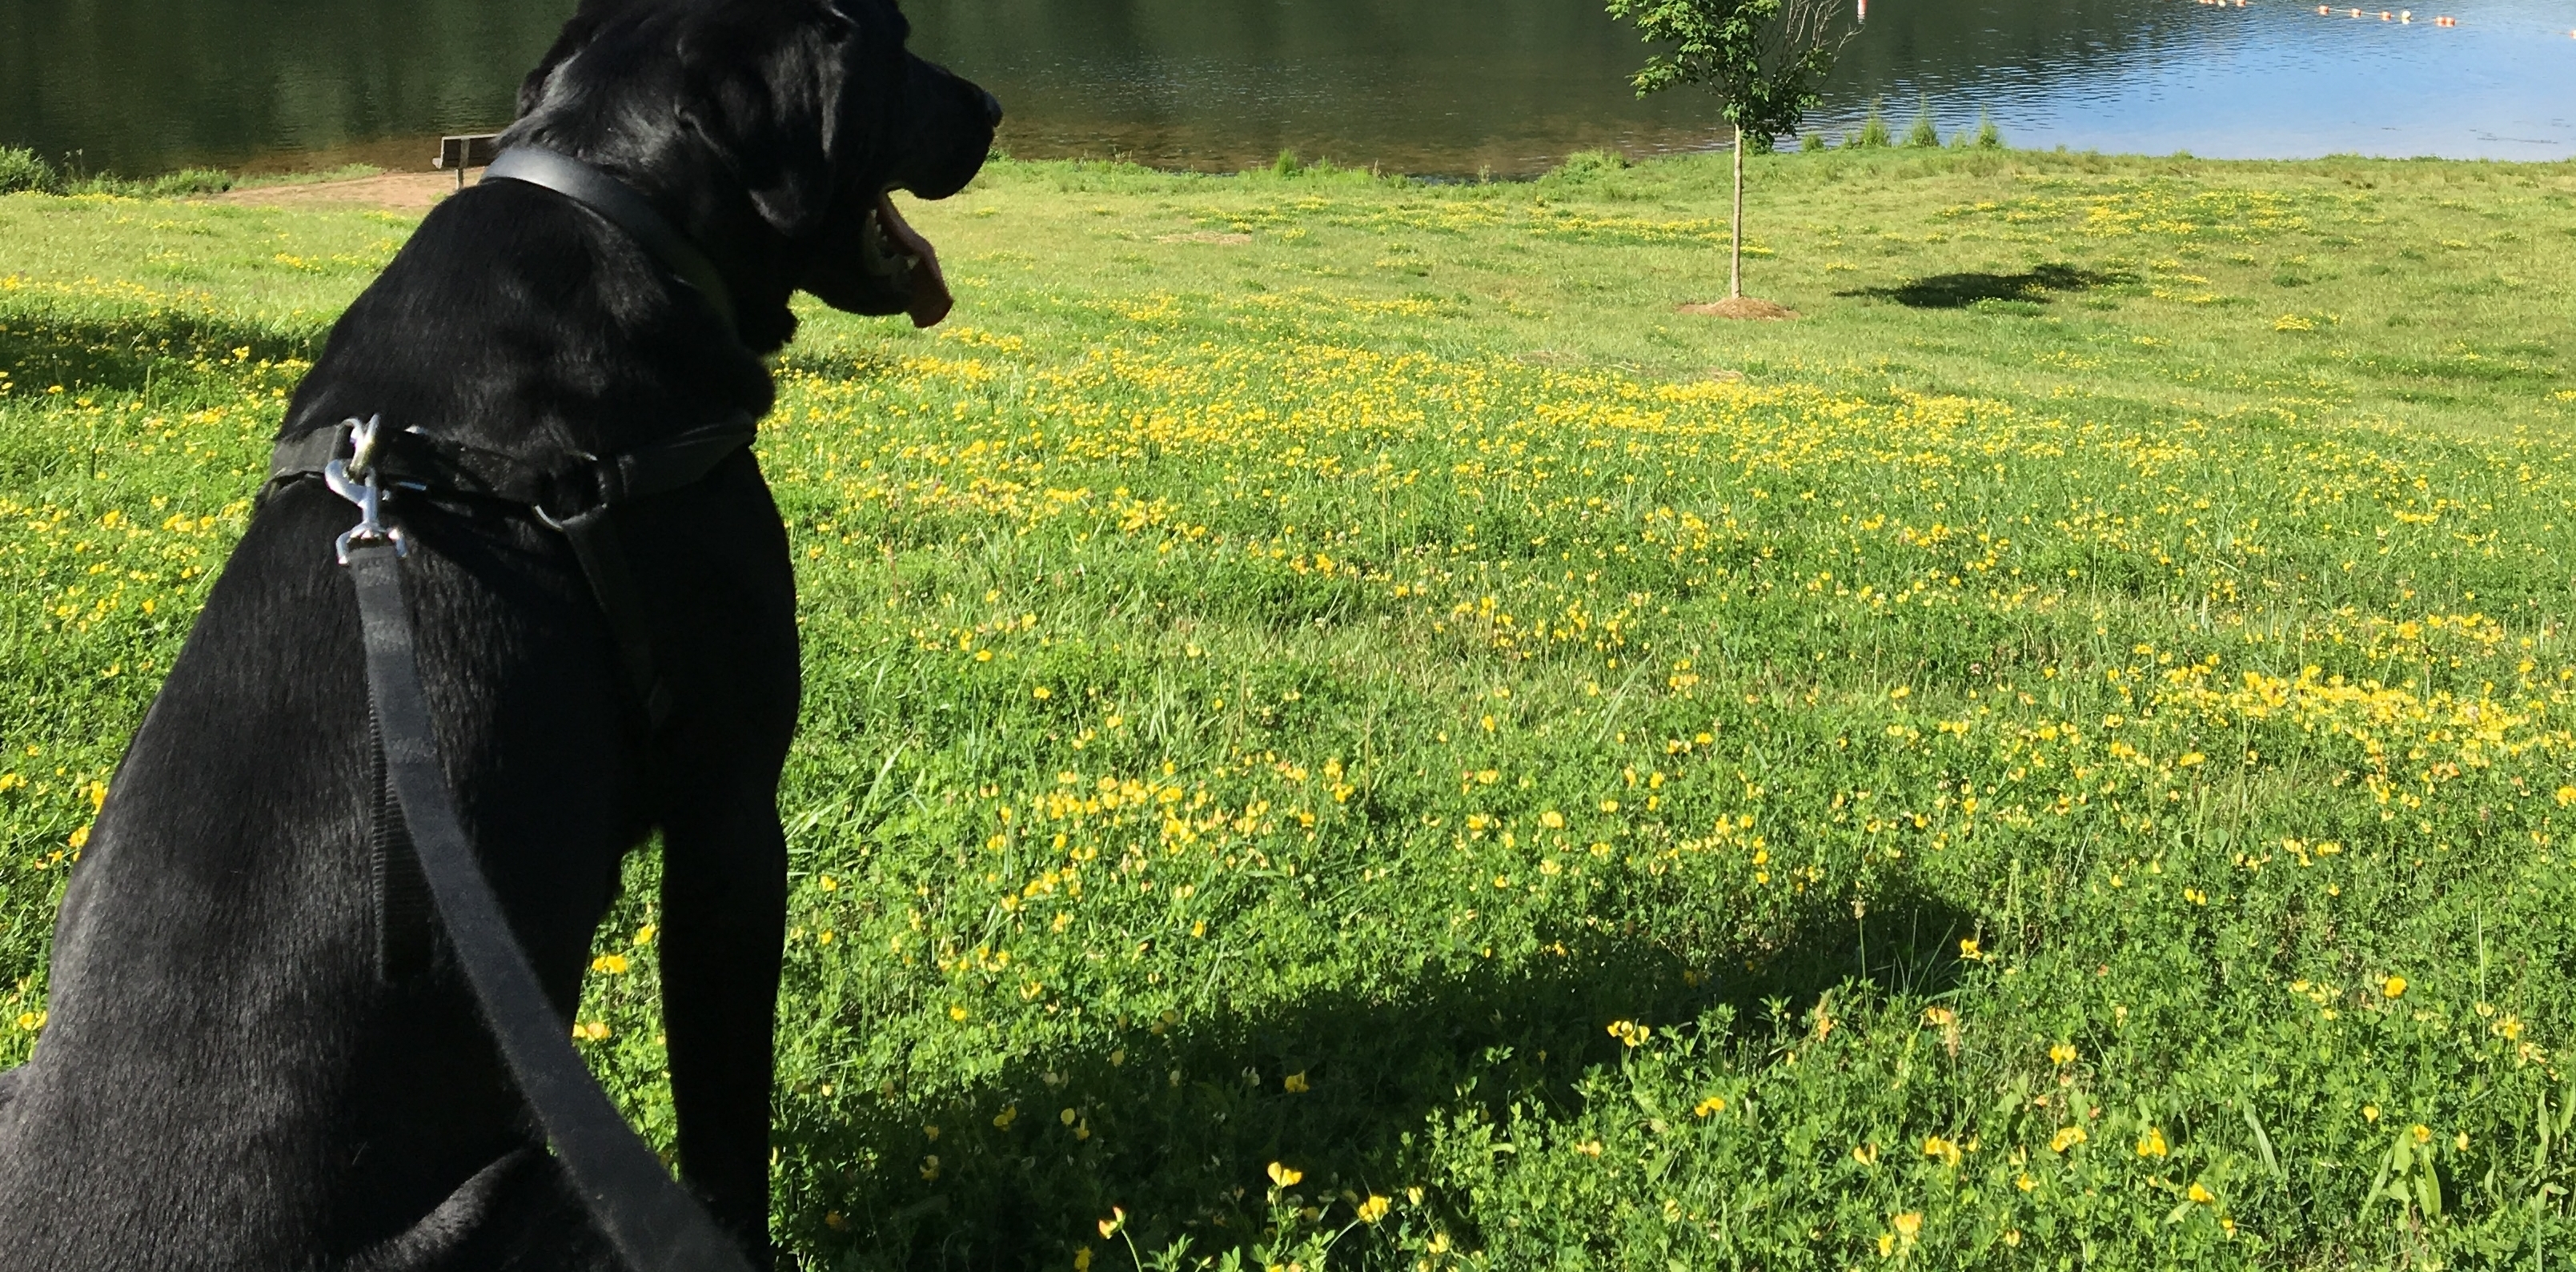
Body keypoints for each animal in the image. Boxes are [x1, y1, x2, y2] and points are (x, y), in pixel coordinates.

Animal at [0, 5, 994, 1266]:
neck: (616, 200)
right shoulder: (728, 811)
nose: (990, 108)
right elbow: (725, 1126)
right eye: (894, 36)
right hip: (538, 1186)